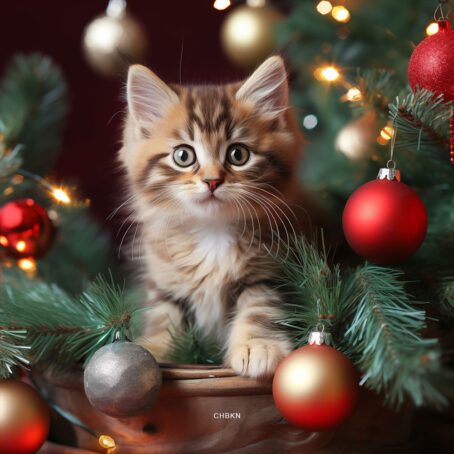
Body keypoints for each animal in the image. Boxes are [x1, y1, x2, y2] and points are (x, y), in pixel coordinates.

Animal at [120, 55, 306, 378]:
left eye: (238, 155)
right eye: (183, 156)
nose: (212, 181)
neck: (212, 231)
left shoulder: (272, 270)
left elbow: (260, 306)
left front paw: (258, 346)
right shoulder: (163, 279)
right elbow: (163, 316)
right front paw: (154, 349)